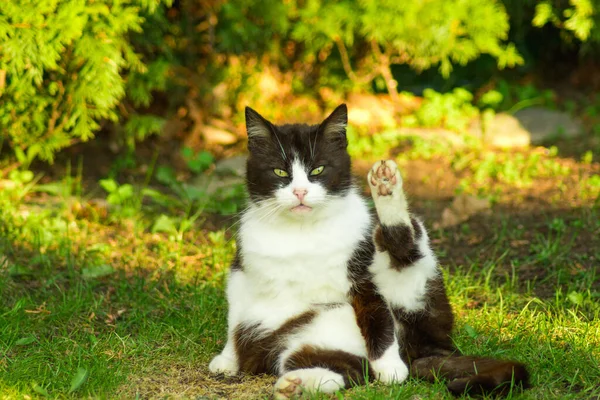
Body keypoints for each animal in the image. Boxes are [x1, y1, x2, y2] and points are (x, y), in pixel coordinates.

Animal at [209, 104, 528, 398]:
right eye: (279, 171)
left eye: (318, 170)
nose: (300, 192)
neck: (302, 233)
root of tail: (428, 349)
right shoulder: (240, 271)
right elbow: (234, 315)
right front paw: (227, 360)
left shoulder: (362, 268)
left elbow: (377, 311)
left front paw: (389, 366)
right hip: (314, 346)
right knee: (347, 372)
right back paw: (295, 384)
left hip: (410, 286)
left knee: (404, 251)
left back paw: (387, 190)